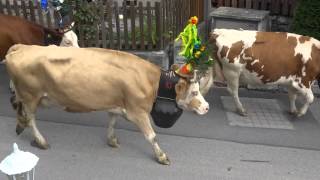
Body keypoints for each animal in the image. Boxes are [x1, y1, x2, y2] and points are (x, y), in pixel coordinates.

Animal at [5, 44, 210, 165]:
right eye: (194, 92)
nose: (207, 107)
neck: (151, 81)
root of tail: (21, 47)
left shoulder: (116, 103)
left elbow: (112, 121)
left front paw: (111, 140)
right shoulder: (138, 111)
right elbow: (151, 136)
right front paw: (161, 156)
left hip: (26, 96)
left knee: (19, 108)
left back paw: (19, 126)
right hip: (31, 96)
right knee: (31, 118)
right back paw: (40, 141)